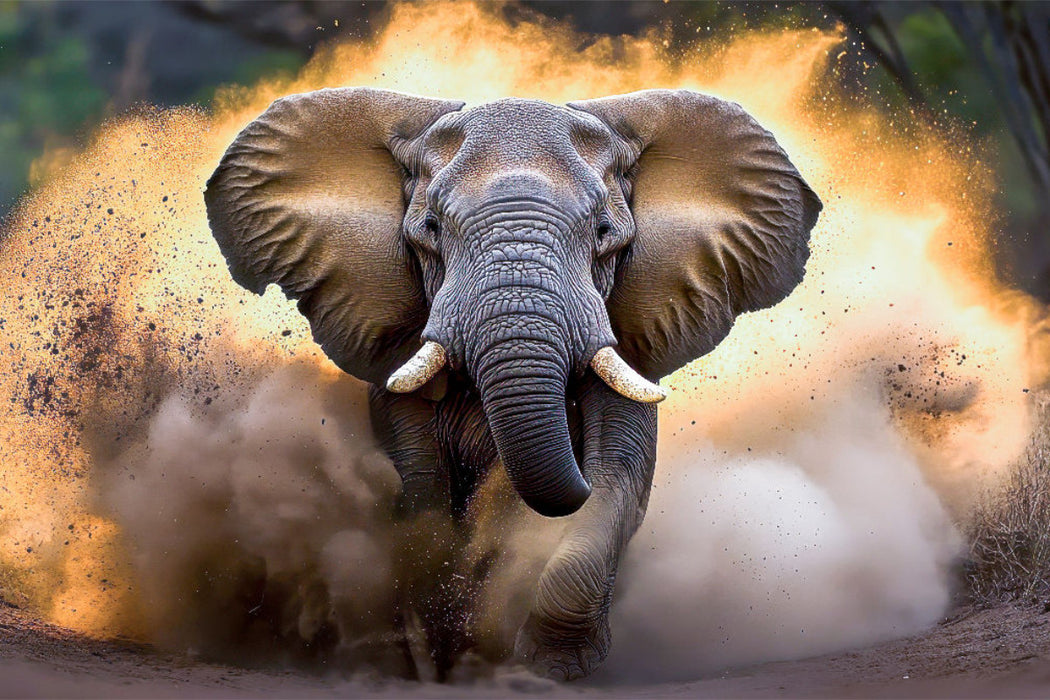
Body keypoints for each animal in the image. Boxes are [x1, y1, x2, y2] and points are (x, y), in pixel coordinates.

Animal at [203, 87, 821, 680]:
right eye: (430, 230)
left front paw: (550, 668)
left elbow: (618, 475)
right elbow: (421, 483)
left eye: (604, 233)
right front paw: (434, 647)